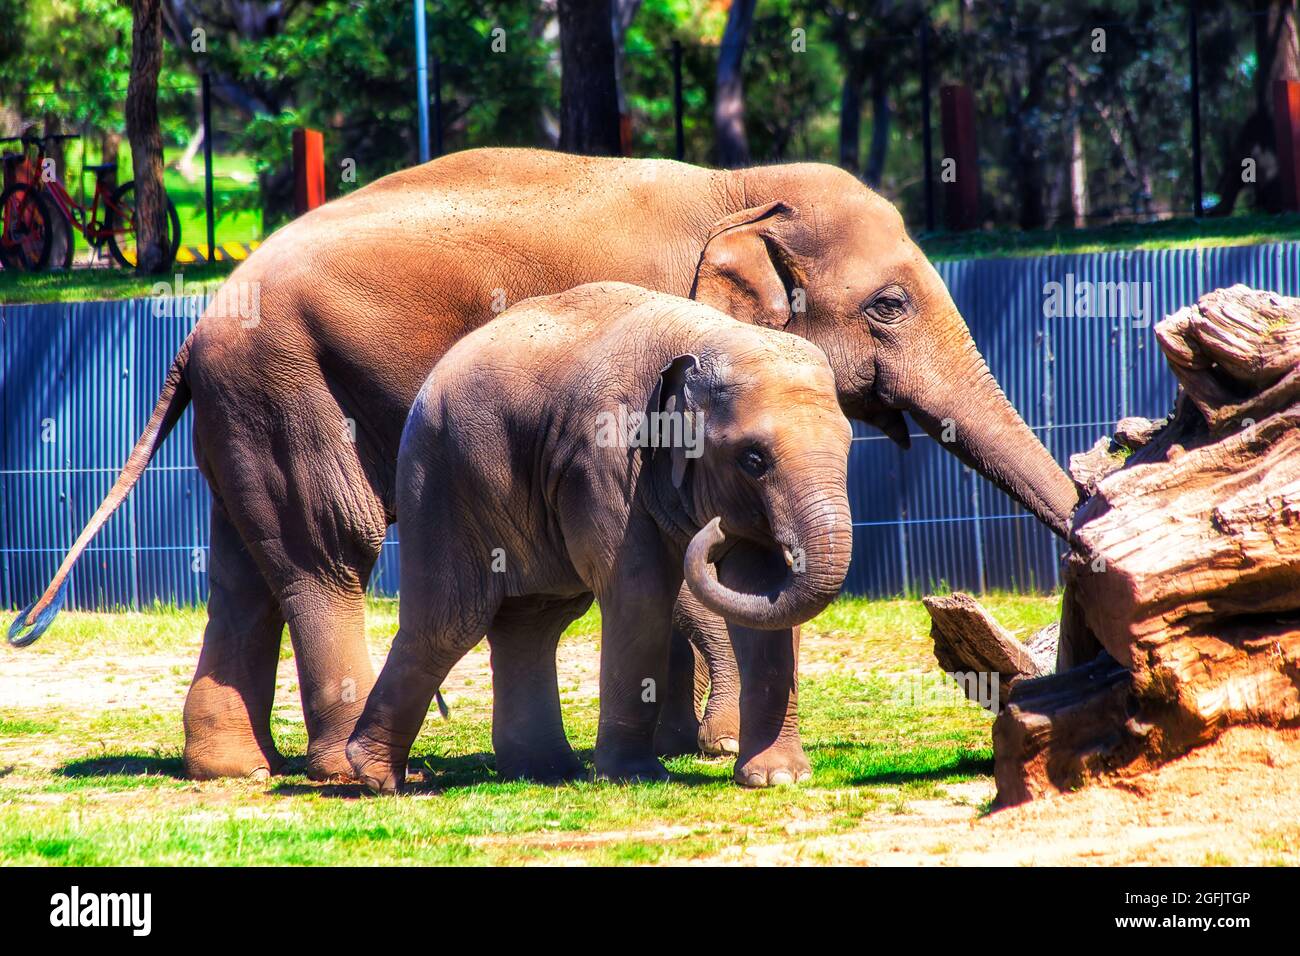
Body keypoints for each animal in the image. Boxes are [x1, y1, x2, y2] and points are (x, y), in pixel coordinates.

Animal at [348, 282, 852, 790]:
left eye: (850, 445)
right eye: (753, 459)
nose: (711, 530)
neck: (705, 336)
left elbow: (755, 587)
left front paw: (777, 779)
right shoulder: (606, 457)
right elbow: (639, 592)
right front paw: (637, 777)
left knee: (534, 621)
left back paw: (545, 771)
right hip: (439, 479)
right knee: (450, 622)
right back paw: (376, 778)